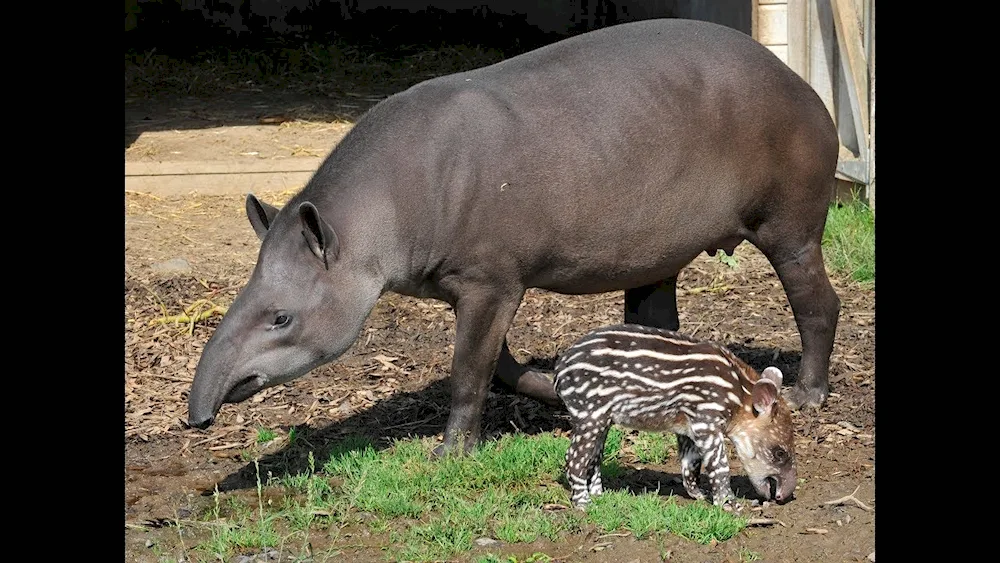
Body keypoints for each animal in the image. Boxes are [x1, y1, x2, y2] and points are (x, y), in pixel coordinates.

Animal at [556, 324, 796, 508]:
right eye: (779, 453)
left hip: (602, 419)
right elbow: (718, 464)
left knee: (594, 458)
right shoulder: (706, 419)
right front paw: (729, 503)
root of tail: (559, 369)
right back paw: (583, 503)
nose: (783, 497)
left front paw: (700, 495)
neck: (738, 394)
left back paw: (599, 495)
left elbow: (691, 464)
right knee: (573, 458)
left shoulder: (688, 427)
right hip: (589, 413)